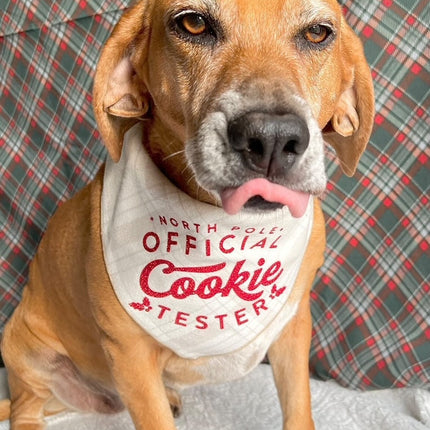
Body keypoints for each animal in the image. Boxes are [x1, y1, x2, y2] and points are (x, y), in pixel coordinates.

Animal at [0, 0, 372, 428]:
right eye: (193, 23)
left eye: (317, 33)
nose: (272, 138)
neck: (228, 232)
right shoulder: (131, 358)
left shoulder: (293, 326)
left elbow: (298, 410)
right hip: (24, 346)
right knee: (25, 408)